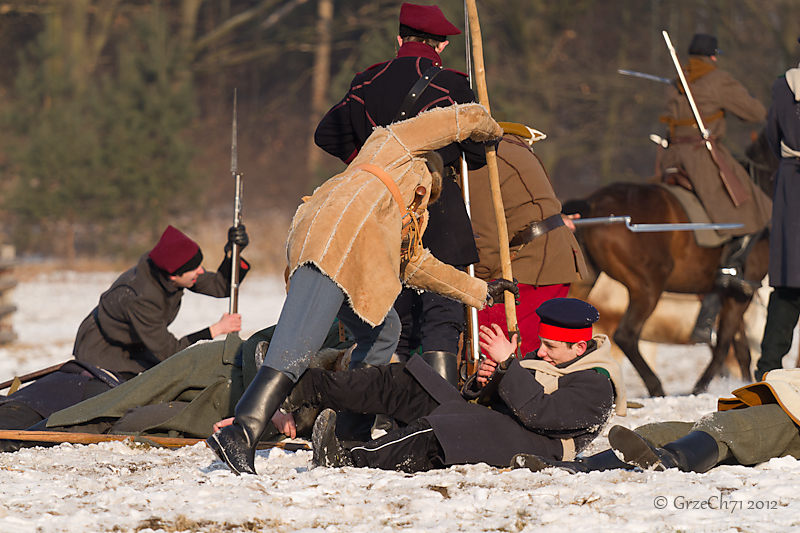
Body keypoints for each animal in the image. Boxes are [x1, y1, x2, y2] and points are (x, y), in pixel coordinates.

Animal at [564, 130, 780, 394]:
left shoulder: (725, 295)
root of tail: (593, 203)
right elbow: (724, 346)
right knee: (626, 336)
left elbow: (738, 350)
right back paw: (656, 388)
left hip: (586, 283)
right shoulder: (740, 294)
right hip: (648, 287)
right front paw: (700, 387)